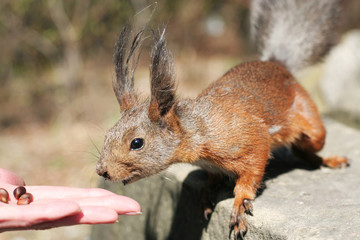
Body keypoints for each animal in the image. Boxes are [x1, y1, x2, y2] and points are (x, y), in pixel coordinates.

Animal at [95, 0, 348, 238]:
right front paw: (206, 194)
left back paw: (329, 160)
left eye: (137, 143)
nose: (102, 171)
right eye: (107, 135)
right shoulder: (211, 166)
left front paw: (239, 204)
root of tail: (276, 64)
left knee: (308, 147)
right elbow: (211, 180)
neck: (198, 131)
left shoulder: (249, 137)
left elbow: (251, 172)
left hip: (309, 120)